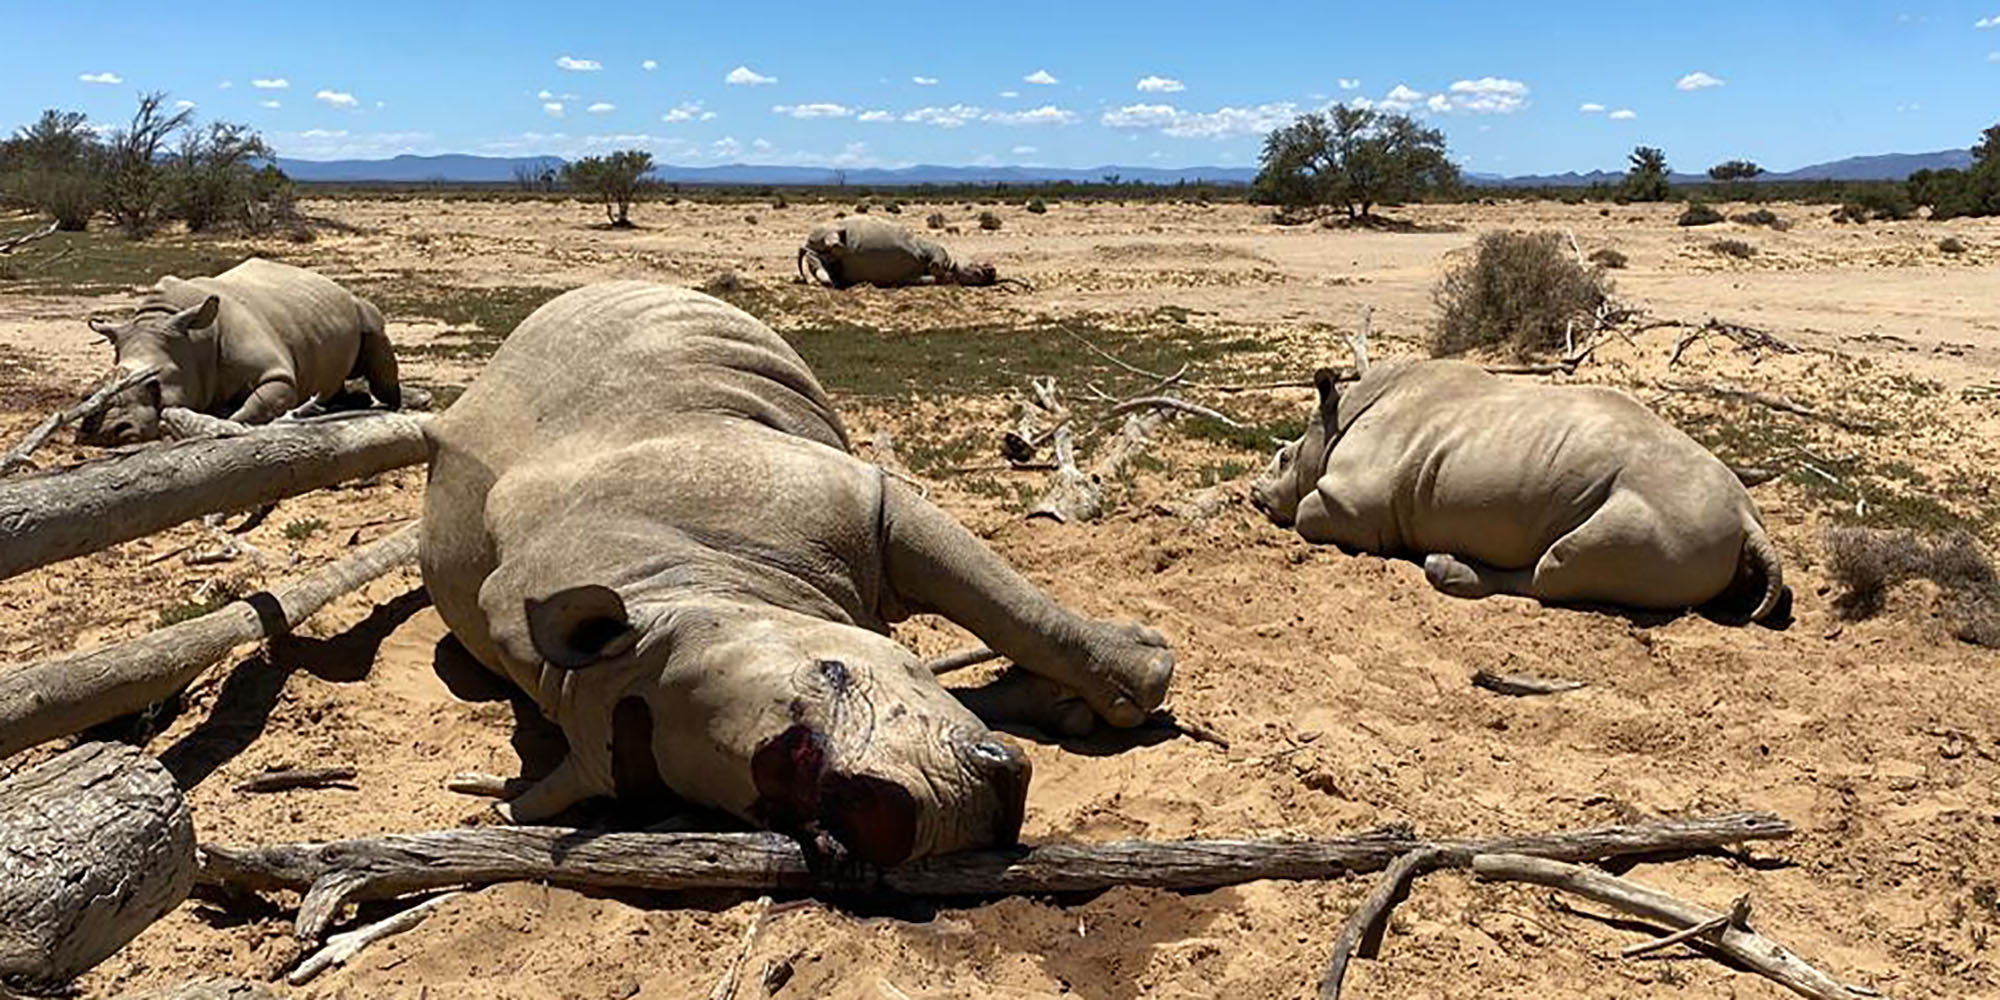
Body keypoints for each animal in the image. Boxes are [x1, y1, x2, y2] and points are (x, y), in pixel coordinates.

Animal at [79, 258, 400, 444]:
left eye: (154, 383)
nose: (108, 432)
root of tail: (329, 281)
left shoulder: (278, 376)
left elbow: (250, 410)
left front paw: (216, 425)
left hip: (357, 304)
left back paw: (389, 405)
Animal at [420, 281, 1172, 864]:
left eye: (831, 674)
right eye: (761, 812)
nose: (908, 823)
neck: (686, 581)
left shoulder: (859, 503)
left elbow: (1004, 603)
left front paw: (1144, 677)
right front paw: (1063, 706)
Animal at [796, 215, 1010, 288]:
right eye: (975, 263)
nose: (992, 270)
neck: (953, 266)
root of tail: (807, 244)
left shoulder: (913, 278)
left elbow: (932, 278)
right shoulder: (932, 248)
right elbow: (936, 258)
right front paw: (937, 266)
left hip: (821, 254)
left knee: (818, 260)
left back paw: (828, 277)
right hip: (825, 231)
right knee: (829, 239)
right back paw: (838, 247)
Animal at [1251, 360, 1787, 621]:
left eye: (1284, 459)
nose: (1256, 492)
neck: (1334, 424)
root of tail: (1747, 520)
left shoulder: (1353, 501)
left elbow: (1308, 513)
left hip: (1670, 519)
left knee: (1558, 564)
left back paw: (1443, 570)